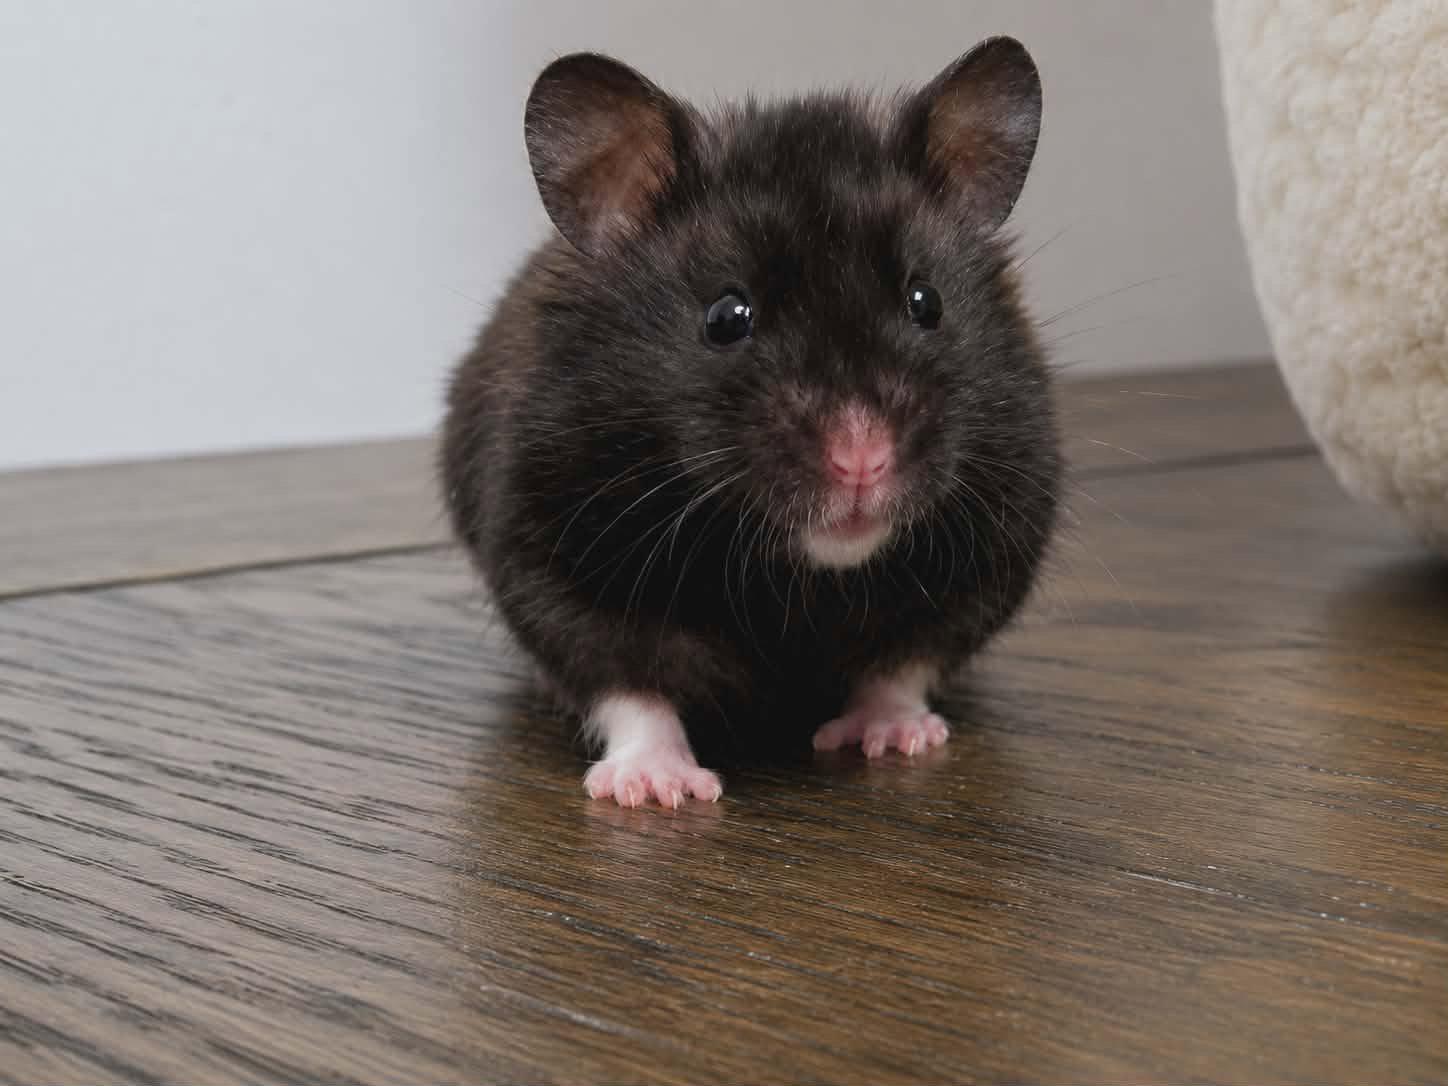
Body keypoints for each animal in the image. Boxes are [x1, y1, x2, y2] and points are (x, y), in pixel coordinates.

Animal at [440, 38, 1060, 807]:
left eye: (927, 303)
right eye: (725, 317)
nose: (862, 460)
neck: (796, 577)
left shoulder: (996, 545)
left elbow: (901, 663)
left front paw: (897, 739)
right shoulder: (551, 558)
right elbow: (628, 683)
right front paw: (658, 790)